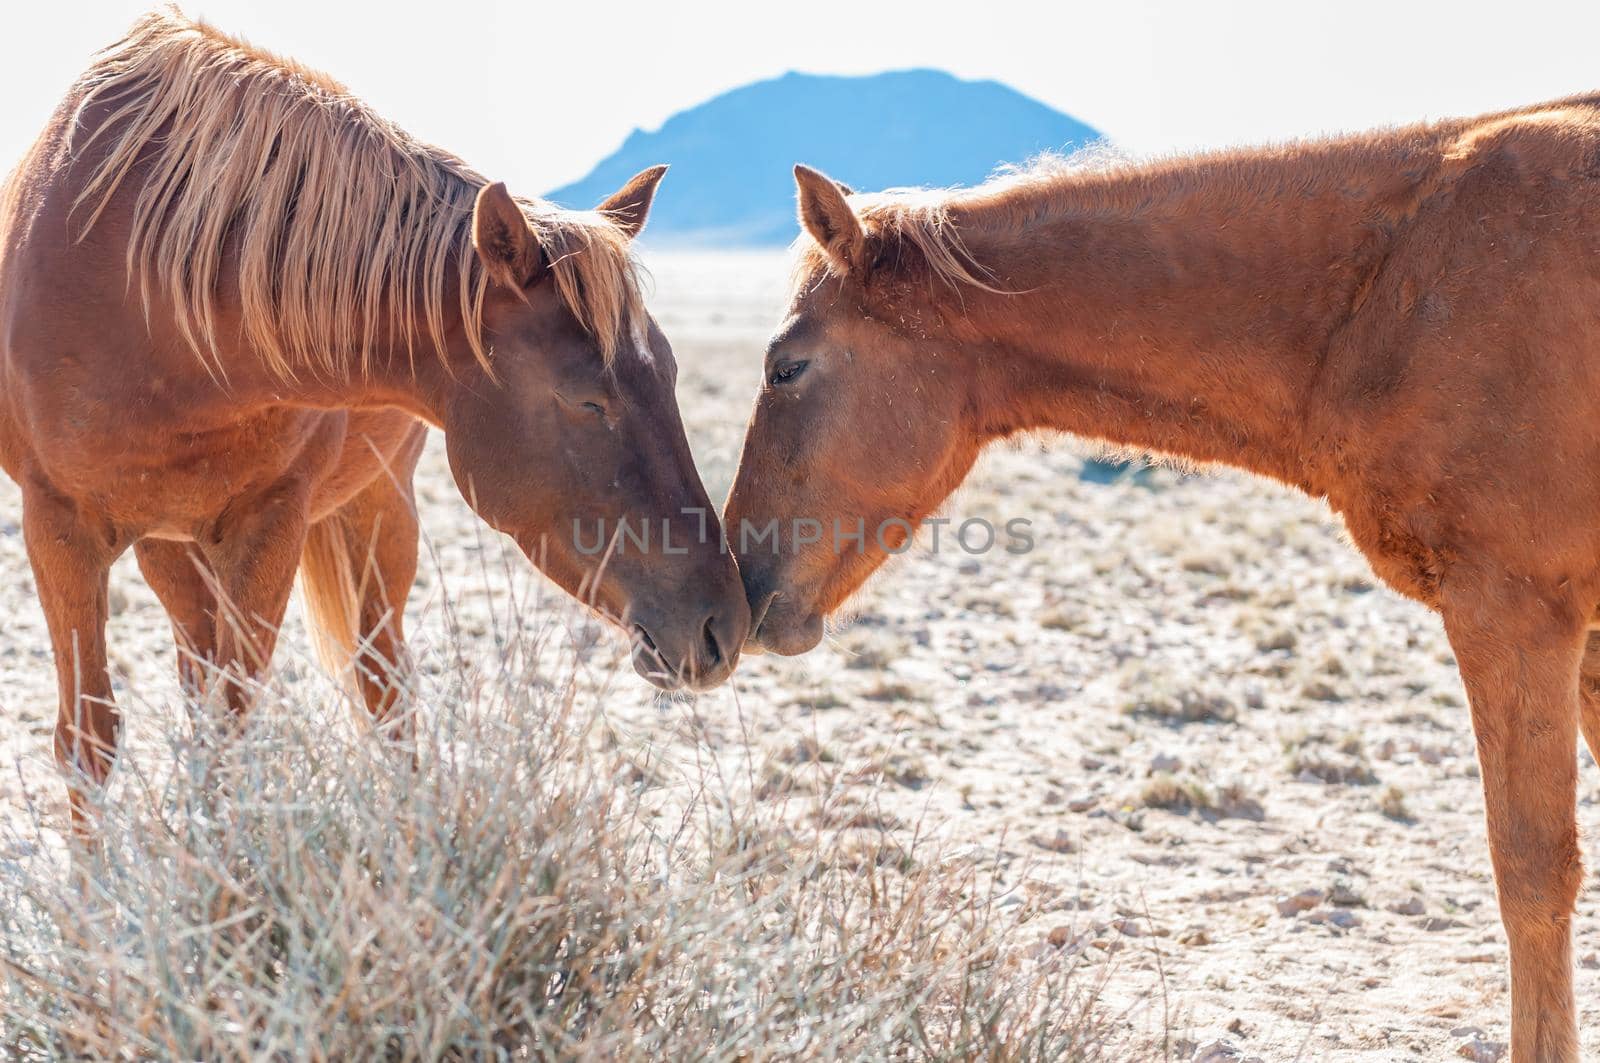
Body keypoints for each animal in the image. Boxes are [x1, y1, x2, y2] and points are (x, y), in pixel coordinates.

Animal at [0, 10, 748, 832]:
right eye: (588, 399)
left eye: (670, 375)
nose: (721, 623)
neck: (155, 303)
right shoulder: (59, 529)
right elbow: (90, 741)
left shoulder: (271, 524)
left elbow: (234, 727)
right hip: (175, 547)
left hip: (376, 514)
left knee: (384, 689)